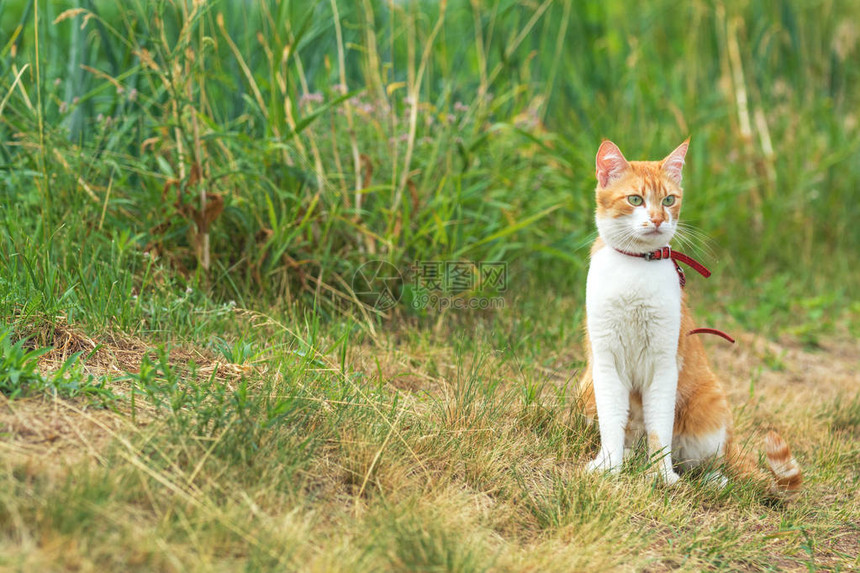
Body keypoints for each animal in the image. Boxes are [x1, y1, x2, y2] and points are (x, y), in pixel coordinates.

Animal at [580, 139, 804, 496]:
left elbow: (659, 429)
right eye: (635, 199)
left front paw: (661, 477)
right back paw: (628, 459)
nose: (658, 219)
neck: (636, 268)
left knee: (708, 463)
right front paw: (609, 467)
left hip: (708, 409)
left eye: (669, 200)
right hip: (586, 388)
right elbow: (613, 421)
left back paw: (709, 480)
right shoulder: (605, 363)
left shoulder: (663, 364)